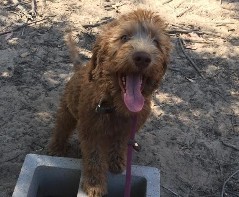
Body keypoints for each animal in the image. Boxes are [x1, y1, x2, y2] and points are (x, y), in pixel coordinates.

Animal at [49, 9, 171, 197]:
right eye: (124, 37)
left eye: (156, 42)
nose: (143, 57)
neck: (116, 106)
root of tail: (79, 68)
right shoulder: (91, 130)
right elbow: (94, 157)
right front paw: (94, 185)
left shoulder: (128, 129)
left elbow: (119, 144)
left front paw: (116, 161)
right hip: (67, 109)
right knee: (62, 126)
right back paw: (56, 147)